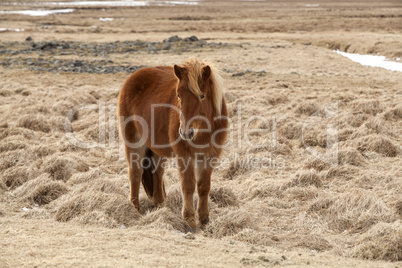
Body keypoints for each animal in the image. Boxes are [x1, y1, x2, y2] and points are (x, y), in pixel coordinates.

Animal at [118, 58, 228, 228]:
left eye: (202, 96)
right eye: (178, 95)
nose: (185, 132)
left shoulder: (210, 156)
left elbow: (204, 187)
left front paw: (204, 219)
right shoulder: (184, 156)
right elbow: (188, 186)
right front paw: (190, 220)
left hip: (157, 149)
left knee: (157, 174)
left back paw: (160, 206)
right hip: (134, 143)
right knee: (135, 174)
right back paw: (134, 210)